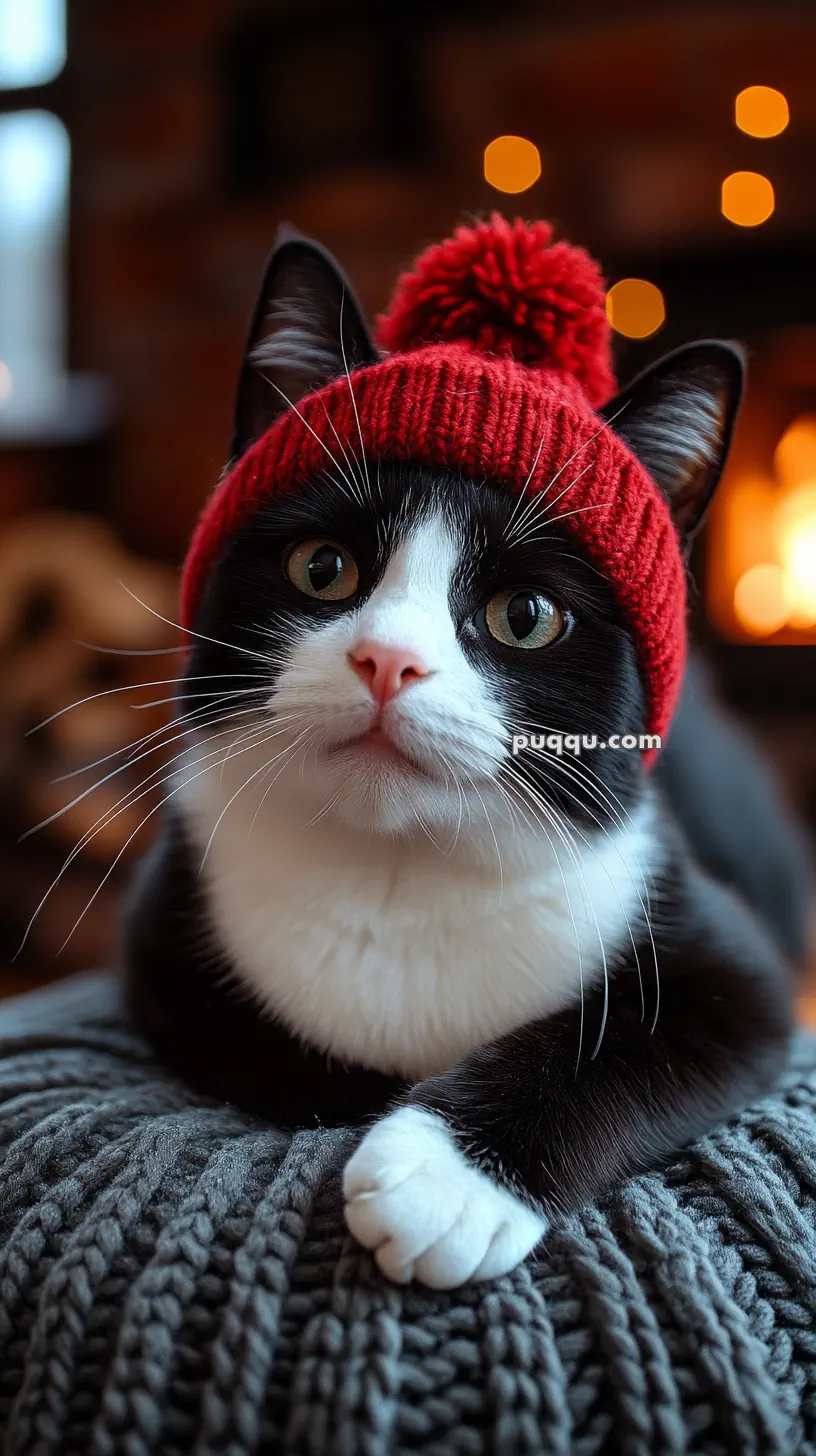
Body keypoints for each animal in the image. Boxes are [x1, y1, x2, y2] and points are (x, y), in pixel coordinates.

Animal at [124, 224, 810, 1287]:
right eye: (322, 568)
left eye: (524, 615)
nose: (388, 660)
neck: (397, 867)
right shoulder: (165, 941)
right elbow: (280, 1057)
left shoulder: (733, 972)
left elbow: (644, 1038)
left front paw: (440, 1178)